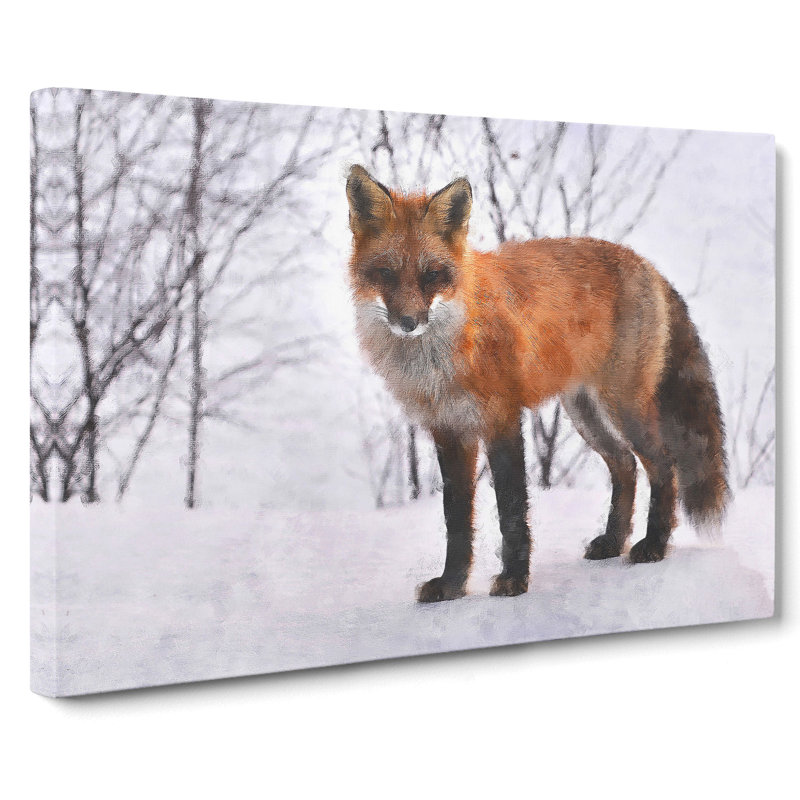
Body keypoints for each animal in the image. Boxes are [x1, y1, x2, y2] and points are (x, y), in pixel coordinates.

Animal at [345, 164, 729, 602]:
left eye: (432, 276)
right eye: (386, 274)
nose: (409, 323)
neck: (441, 359)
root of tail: (646, 264)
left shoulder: (502, 419)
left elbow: (512, 510)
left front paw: (514, 579)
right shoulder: (449, 430)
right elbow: (456, 519)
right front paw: (452, 585)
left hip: (624, 406)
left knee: (664, 464)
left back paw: (654, 545)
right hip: (584, 413)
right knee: (625, 465)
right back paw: (613, 541)